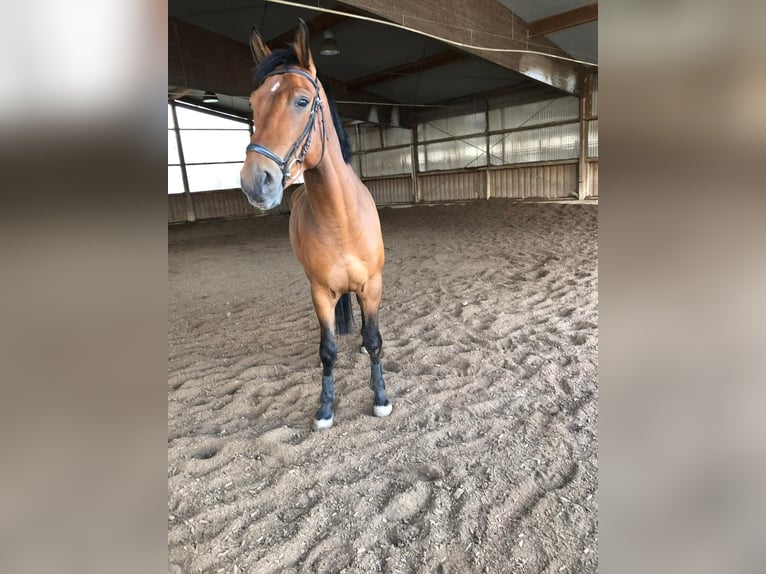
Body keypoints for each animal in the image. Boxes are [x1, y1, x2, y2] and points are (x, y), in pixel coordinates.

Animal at [240, 20, 392, 430]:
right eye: (253, 103)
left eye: (302, 101)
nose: (255, 181)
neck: (341, 220)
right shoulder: (321, 293)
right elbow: (327, 350)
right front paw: (324, 408)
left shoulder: (372, 285)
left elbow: (375, 340)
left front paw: (381, 398)